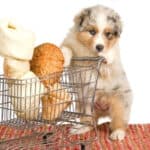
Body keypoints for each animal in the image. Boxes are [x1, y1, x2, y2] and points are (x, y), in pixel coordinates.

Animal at [60, 4, 132, 141]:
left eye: (108, 34)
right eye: (92, 32)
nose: (100, 47)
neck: (89, 51)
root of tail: (102, 109)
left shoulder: (112, 63)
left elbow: (111, 54)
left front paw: (106, 54)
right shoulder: (71, 43)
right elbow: (66, 48)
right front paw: (64, 58)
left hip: (120, 102)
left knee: (119, 121)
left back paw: (118, 133)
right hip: (85, 104)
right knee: (90, 122)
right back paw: (81, 128)